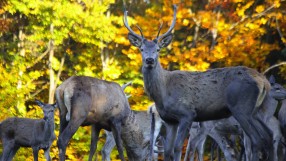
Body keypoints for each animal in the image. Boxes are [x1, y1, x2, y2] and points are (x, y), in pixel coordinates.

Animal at [124, 4, 274, 160]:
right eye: (141, 49)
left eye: (158, 49)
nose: (149, 60)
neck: (162, 94)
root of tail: (264, 82)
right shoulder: (170, 120)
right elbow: (168, 151)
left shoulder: (187, 113)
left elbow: (177, 148)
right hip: (257, 111)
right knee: (268, 136)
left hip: (241, 107)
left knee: (256, 140)